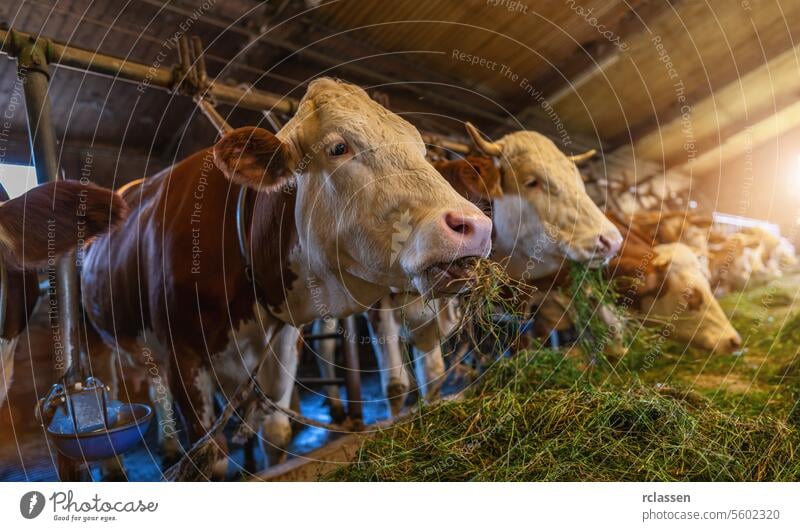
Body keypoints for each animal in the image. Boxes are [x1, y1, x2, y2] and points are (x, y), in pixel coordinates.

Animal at [81, 77, 494, 476]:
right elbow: (210, 458)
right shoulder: (183, 356)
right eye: (338, 147)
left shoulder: (283, 339)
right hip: (95, 339)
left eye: (420, 150)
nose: (474, 225)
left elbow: (276, 434)